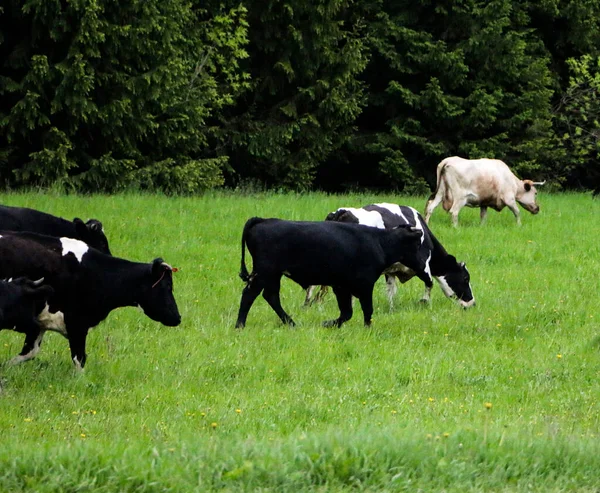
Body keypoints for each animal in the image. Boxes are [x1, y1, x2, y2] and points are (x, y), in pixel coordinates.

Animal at [0, 233, 180, 368]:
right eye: (167, 286)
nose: (178, 318)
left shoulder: (40, 323)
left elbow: (29, 352)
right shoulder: (76, 323)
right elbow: (79, 359)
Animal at [234, 217, 426, 328]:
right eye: (417, 244)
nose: (423, 264)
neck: (379, 242)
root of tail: (264, 220)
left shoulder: (341, 286)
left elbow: (347, 312)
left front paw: (330, 324)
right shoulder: (364, 285)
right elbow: (366, 309)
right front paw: (367, 328)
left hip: (272, 275)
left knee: (271, 296)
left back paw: (291, 323)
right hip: (264, 272)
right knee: (250, 294)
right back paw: (240, 325)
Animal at [304, 202, 474, 306]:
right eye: (465, 278)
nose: (472, 303)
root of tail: (342, 212)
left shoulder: (391, 269)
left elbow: (391, 289)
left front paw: (391, 308)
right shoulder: (422, 263)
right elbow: (430, 283)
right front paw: (424, 302)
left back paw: (308, 304)